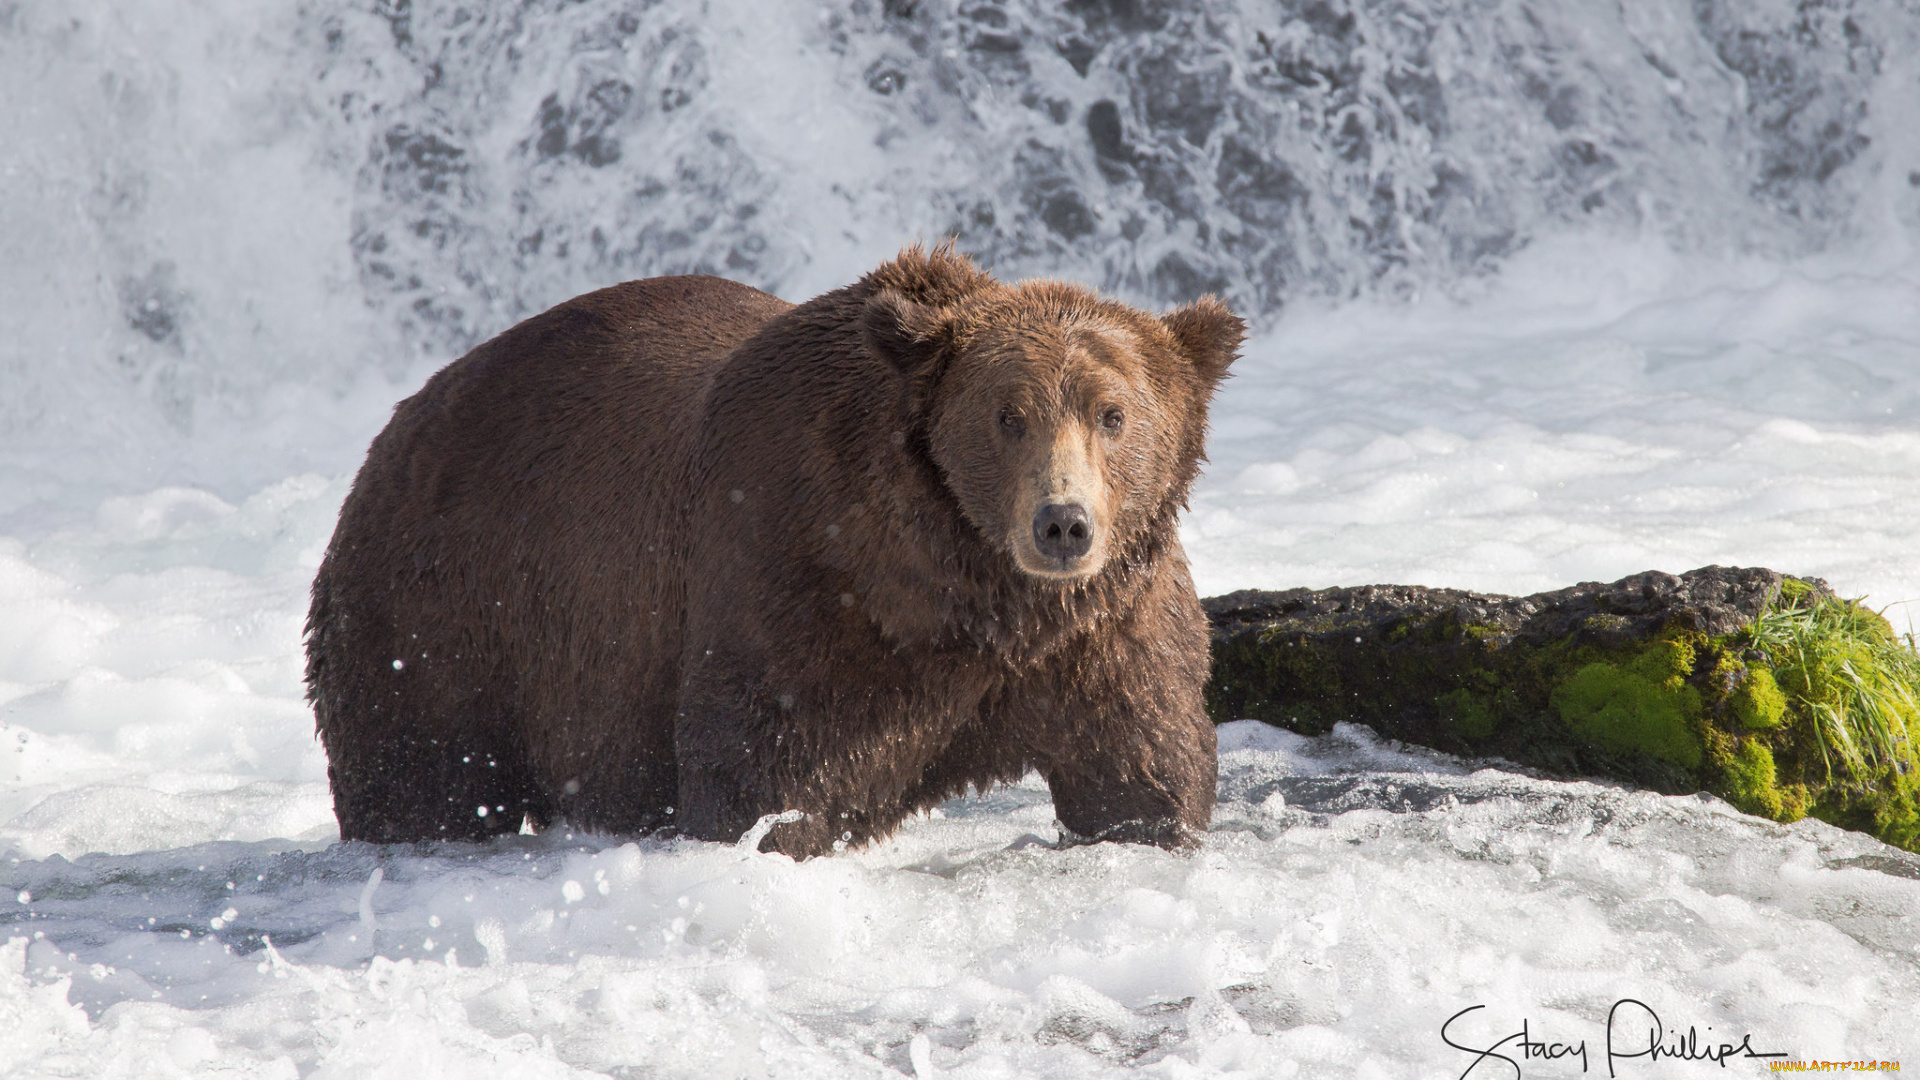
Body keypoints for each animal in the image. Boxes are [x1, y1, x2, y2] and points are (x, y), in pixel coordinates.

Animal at [305, 242, 1236, 849]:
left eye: (1113, 413)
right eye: (1008, 415)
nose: (1062, 523)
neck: (958, 590)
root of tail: (399, 424)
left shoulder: (1104, 625)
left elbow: (1145, 760)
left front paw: (1148, 821)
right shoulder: (796, 566)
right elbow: (768, 767)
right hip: (451, 607)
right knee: (420, 767)